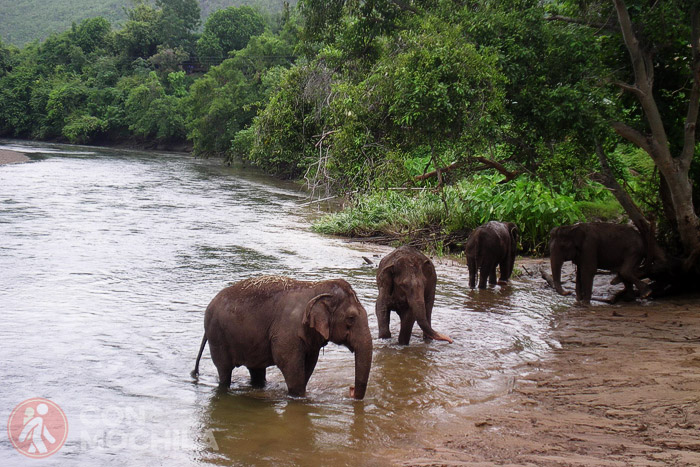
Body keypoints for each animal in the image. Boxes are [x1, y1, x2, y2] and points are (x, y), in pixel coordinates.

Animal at [191, 276, 374, 400]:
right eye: (351, 318)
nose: (350, 390)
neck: (315, 287)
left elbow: (309, 364)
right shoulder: (287, 331)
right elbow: (288, 363)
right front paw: (298, 397)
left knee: (256, 370)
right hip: (217, 335)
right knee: (224, 370)